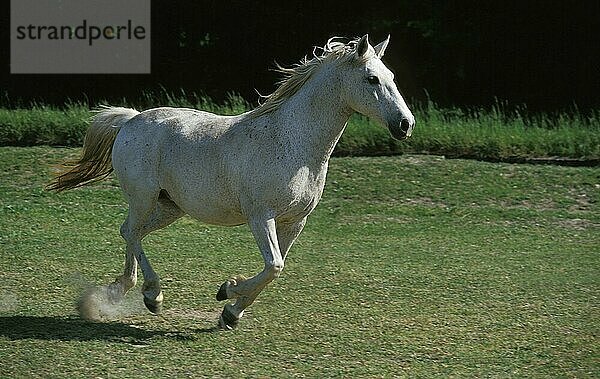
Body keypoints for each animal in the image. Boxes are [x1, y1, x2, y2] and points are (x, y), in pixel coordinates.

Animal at [48, 35, 412, 330]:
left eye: (393, 77)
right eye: (372, 78)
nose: (405, 124)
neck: (292, 142)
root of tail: (130, 120)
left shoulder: (295, 221)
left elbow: (275, 269)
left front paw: (231, 313)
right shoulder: (260, 216)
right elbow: (273, 266)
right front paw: (228, 291)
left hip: (170, 207)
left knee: (131, 233)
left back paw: (123, 294)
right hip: (143, 198)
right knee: (132, 233)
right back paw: (151, 295)